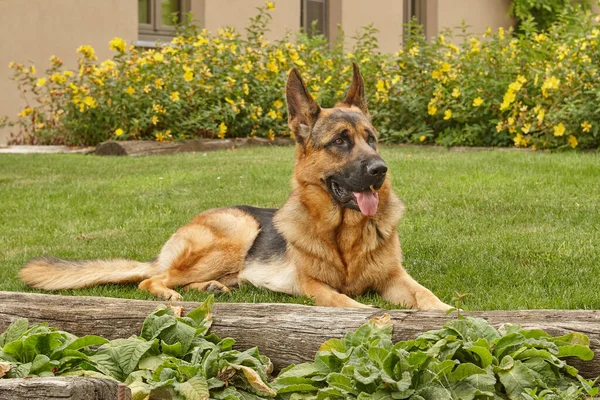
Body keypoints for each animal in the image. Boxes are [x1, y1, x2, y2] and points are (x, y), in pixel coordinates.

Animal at [18, 65, 450, 310]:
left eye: (371, 139)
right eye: (341, 142)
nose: (380, 170)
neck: (344, 235)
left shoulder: (396, 278)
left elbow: (427, 296)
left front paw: (450, 314)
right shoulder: (312, 285)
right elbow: (343, 300)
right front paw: (370, 314)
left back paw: (210, 287)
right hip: (236, 232)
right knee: (149, 280)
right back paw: (171, 293)